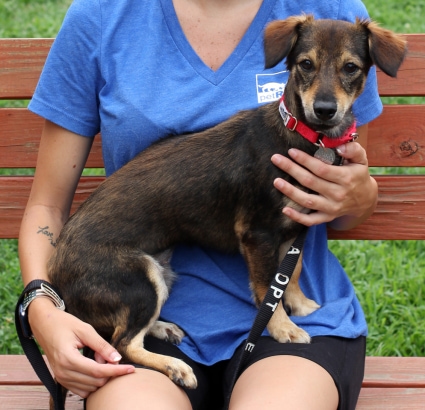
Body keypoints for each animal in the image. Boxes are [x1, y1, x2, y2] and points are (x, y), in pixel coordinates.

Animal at [46, 15, 404, 394]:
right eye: (306, 64)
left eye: (350, 68)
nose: (324, 110)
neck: (310, 138)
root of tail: (57, 273)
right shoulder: (257, 234)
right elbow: (266, 289)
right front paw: (282, 327)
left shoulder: (295, 226)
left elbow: (290, 272)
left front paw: (298, 303)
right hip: (140, 278)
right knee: (120, 344)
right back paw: (174, 366)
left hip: (159, 272)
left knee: (121, 332)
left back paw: (162, 328)